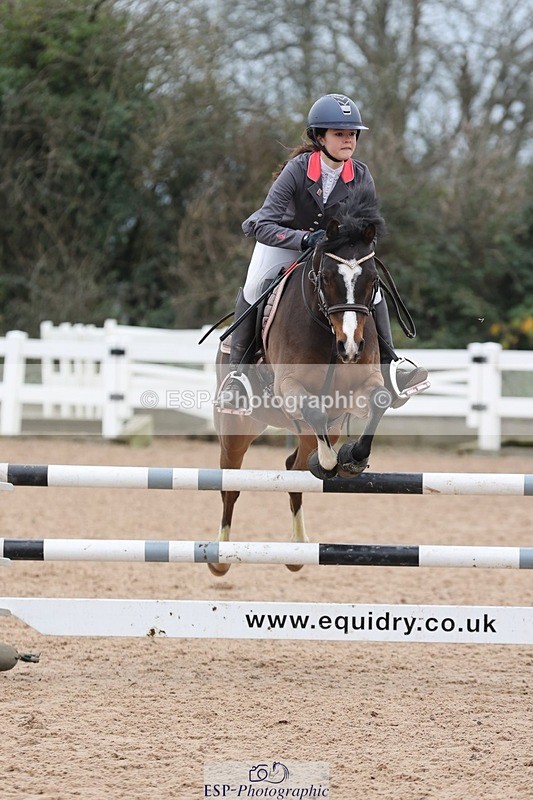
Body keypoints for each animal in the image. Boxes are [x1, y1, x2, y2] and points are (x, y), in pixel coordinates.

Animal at [212, 188, 392, 576]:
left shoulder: (362, 385)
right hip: (237, 428)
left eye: (372, 281)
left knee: (294, 469)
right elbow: (313, 410)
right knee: (230, 483)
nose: (350, 347)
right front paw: (329, 461)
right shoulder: (289, 386)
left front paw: (353, 458)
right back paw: (219, 557)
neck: (326, 329)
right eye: (325, 278)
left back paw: (297, 549)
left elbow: (379, 401)